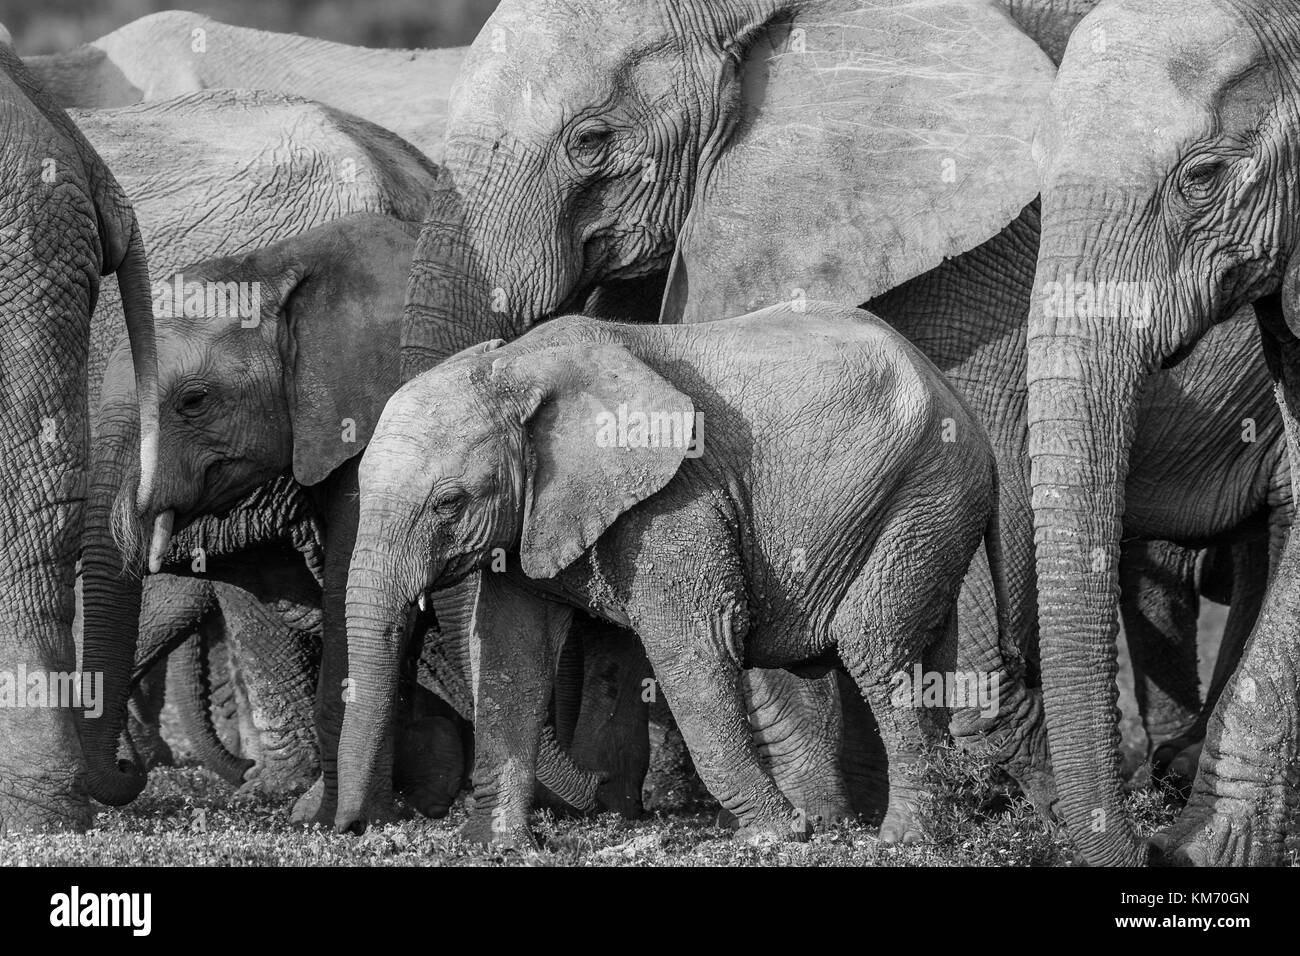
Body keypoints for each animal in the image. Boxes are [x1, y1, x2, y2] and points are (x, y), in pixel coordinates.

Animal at [335, 303, 993, 848]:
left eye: (449, 503)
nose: (350, 826)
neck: (519, 362)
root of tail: (957, 400)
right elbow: (509, 654)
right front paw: (490, 847)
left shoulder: (677, 498)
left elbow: (693, 647)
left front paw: (777, 835)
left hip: (925, 491)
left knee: (873, 644)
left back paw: (903, 838)